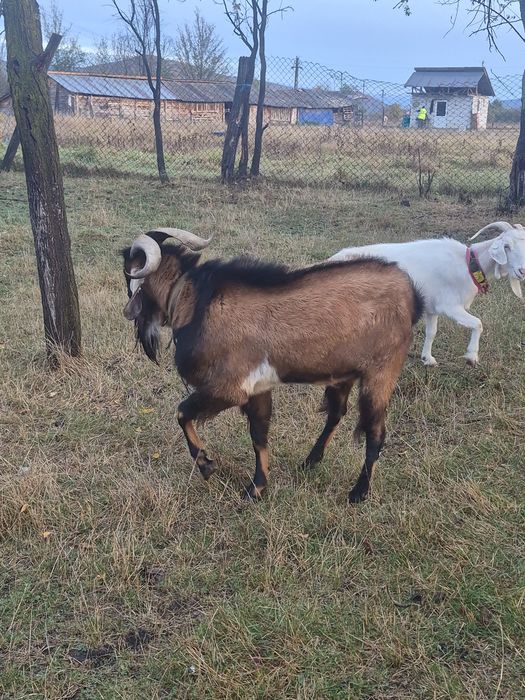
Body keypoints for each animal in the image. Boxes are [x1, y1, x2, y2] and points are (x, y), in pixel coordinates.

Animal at [122, 228, 423, 502]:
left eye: (128, 274)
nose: (128, 312)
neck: (196, 301)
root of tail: (411, 294)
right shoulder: (257, 388)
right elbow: (259, 435)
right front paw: (257, 488)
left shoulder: (228, 389)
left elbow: (182, 413)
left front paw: (208, 466)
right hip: (343, 374)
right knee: (336, 414)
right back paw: (310, 462)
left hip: (380, 373)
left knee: (375, 432)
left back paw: (359, 492)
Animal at [330, 221, 525, 367]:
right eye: (507, 246)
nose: (522, 271)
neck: (467, 264)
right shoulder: (450, 306)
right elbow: (478, 323)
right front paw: (471, 357)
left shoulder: (432, 308)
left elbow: (431, 332)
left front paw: (427, 359)